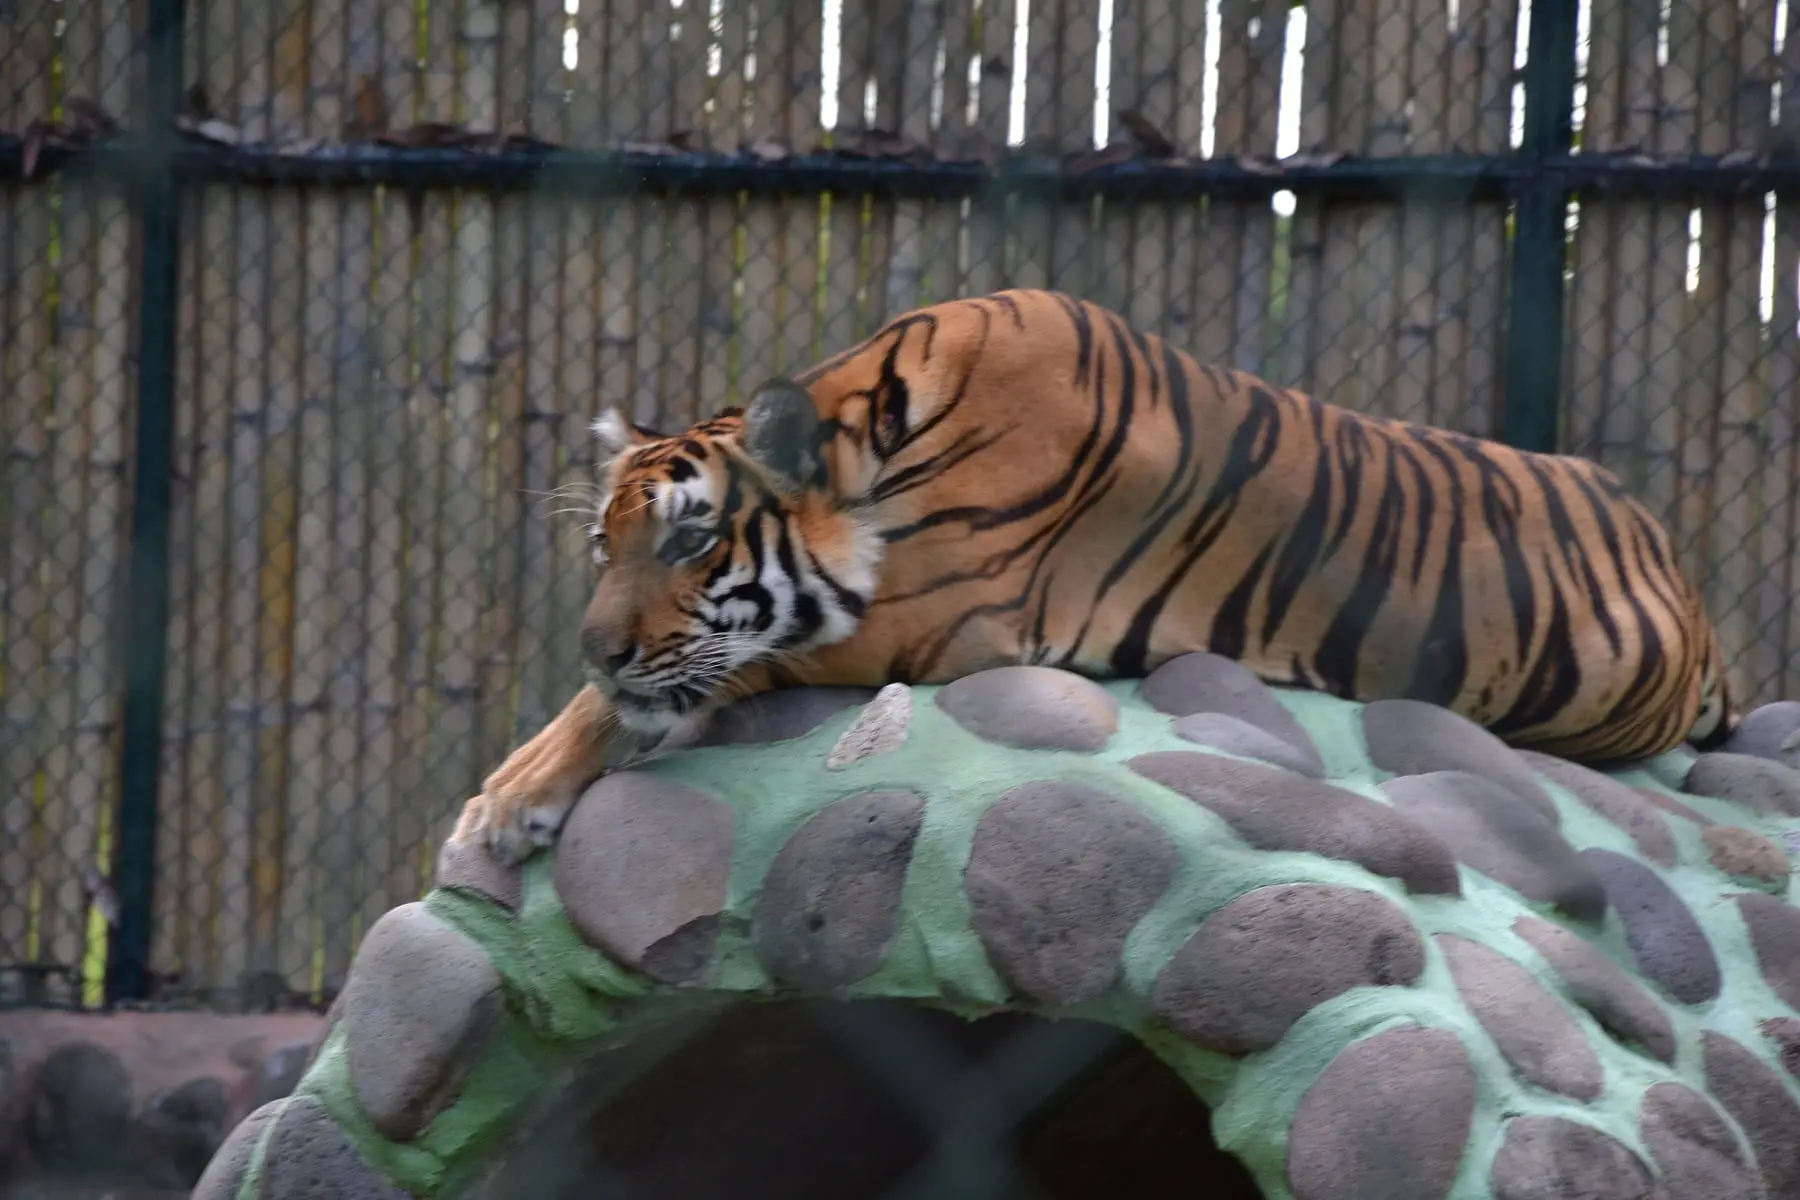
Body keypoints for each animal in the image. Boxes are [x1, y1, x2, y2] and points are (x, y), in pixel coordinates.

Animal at [450, 288, 1737, 863]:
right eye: (604, 545)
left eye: (691, 540)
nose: (595, 647)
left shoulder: (937, 614)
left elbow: (714, 672)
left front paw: (500, 805)